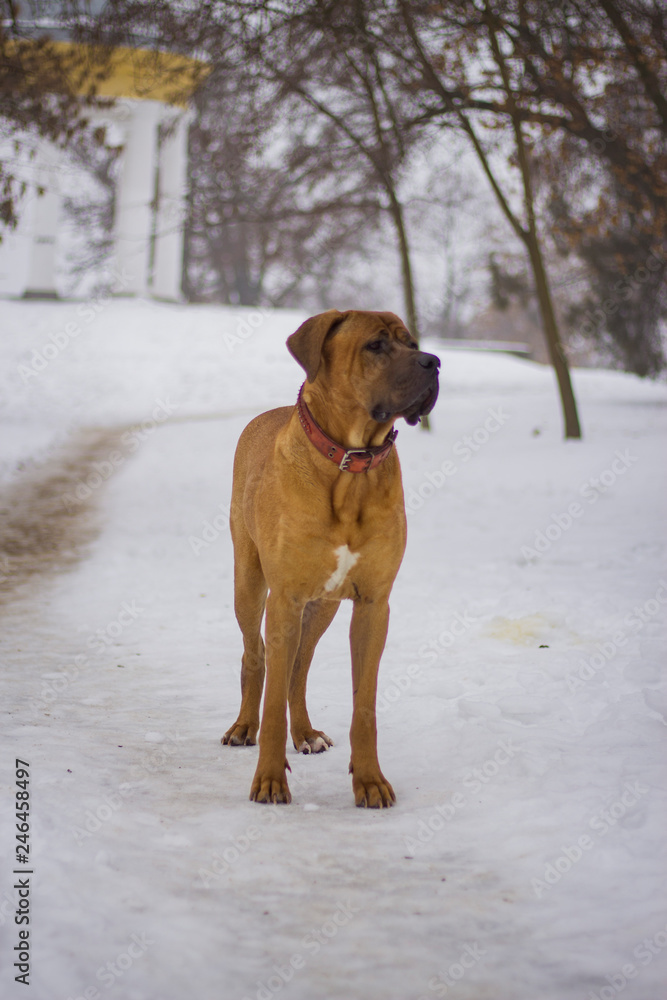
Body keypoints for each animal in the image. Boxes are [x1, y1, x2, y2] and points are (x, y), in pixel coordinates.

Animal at [223, 308, 438, 808]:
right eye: (376, 346)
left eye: (411, 341)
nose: (434, 362)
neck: (350, 467)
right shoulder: (283, 599)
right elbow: (273, 697)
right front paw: (269, 780)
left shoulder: (373, 604)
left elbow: (364, 706)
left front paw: (370, 781)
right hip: (250, 584)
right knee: (257, 656)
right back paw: (244, 725)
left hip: (323, 605)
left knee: (298, 667)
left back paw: (304, 733)